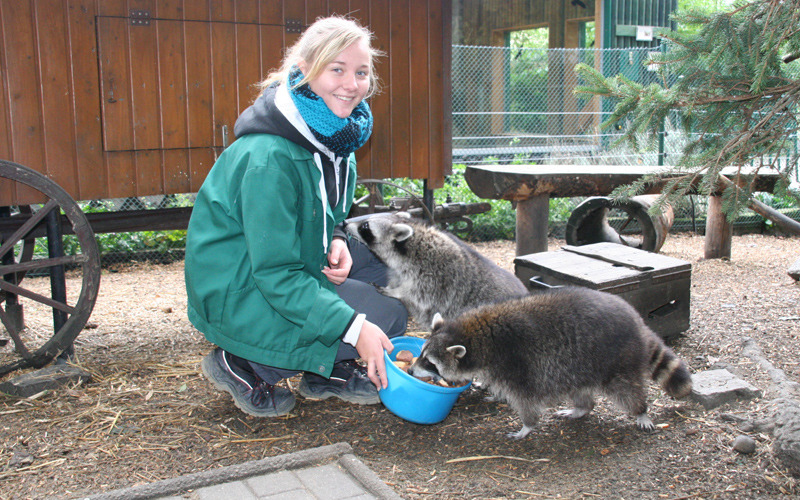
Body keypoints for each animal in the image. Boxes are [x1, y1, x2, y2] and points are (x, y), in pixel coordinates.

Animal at [346, 212, 528, 326]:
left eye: (365, 226)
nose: (344, 223)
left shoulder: (435, 275)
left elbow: (419, 295)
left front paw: (395, 292)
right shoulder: (400, 271)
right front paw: (393, 286)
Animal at [410, 288, 692, 440]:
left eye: (430, 363)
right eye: (421, 354)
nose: (411, 370)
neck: (472, 335)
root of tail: (637, 321)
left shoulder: (515, 363)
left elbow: (525, 398)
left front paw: (527, 426)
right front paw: (488, 387)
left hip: (616, 358)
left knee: (626, 388)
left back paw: (640, 410)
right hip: (580, 364)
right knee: (580, 389)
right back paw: (582, 407)